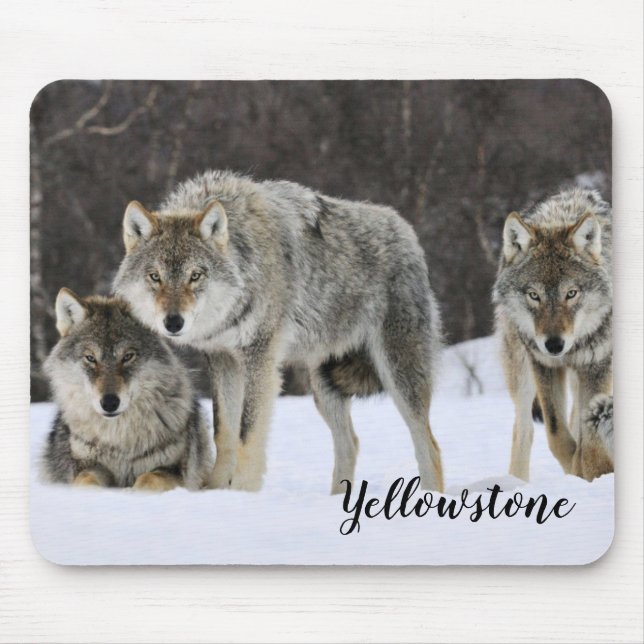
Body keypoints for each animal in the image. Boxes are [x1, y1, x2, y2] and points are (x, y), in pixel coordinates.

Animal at [42, 289, 214, 490]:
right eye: (90, 358)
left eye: (128, 356)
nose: (109, 403)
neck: (119, 440)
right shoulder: (87, 465)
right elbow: (86, 480)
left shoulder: (174, 470)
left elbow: (148, 479)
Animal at [113, 170, 444, 493]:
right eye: (155, 276)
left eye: (195, 276)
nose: (173, 322)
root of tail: (406, 230)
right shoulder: (222, 359)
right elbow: (224, 432)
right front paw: (216, 490)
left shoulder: (260, 358)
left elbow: (247, 434)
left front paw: (243, 493)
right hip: (324, 386)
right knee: (350, 443)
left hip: (398, 375)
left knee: (429, 445)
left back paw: (431, 495)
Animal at [493, 188, 613, 482]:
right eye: (534, 295)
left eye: (571, 293)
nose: (555, 344)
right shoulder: (543, 364)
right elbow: (557, 435)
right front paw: (576, 471)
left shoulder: (598, 365)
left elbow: (589, 443)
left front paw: (593, 474)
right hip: (521, 371)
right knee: (524, 429)